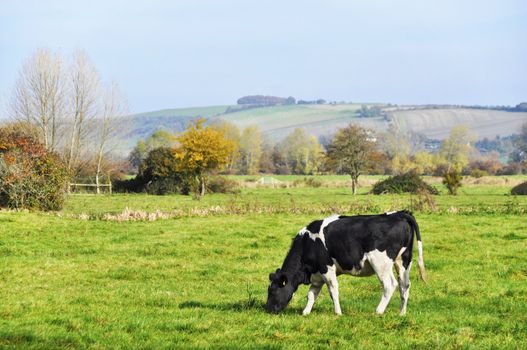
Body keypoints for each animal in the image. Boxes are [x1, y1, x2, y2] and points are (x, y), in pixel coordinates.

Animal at [266, 212, 426, 316]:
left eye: (272, 291)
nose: (268, 309)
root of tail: (399, 214)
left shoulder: (327, 269)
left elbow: (333, 291)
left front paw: (338, 312)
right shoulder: (317, 275)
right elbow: (311, 294)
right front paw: (306, 312)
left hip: (381, 263)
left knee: (390, 285)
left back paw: (378, 311)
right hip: (404, 260)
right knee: (404, 285)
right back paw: (402, 313)